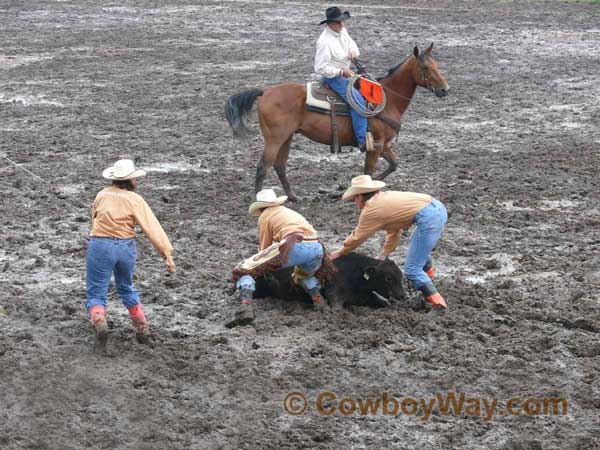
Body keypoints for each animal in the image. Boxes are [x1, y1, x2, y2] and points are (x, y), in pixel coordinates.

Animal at [225, 43, 450, 201]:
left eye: (437, 65)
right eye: (425, 67)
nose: (445, 89)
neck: (388, 100)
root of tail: (265, 91)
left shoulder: (384, 144)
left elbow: (393, 165)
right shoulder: (375, 145)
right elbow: (368, 171)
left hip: (286, 137)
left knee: (280, 165)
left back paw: (293, 197)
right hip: (274, 138)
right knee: (263, 166)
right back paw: (259, 202)